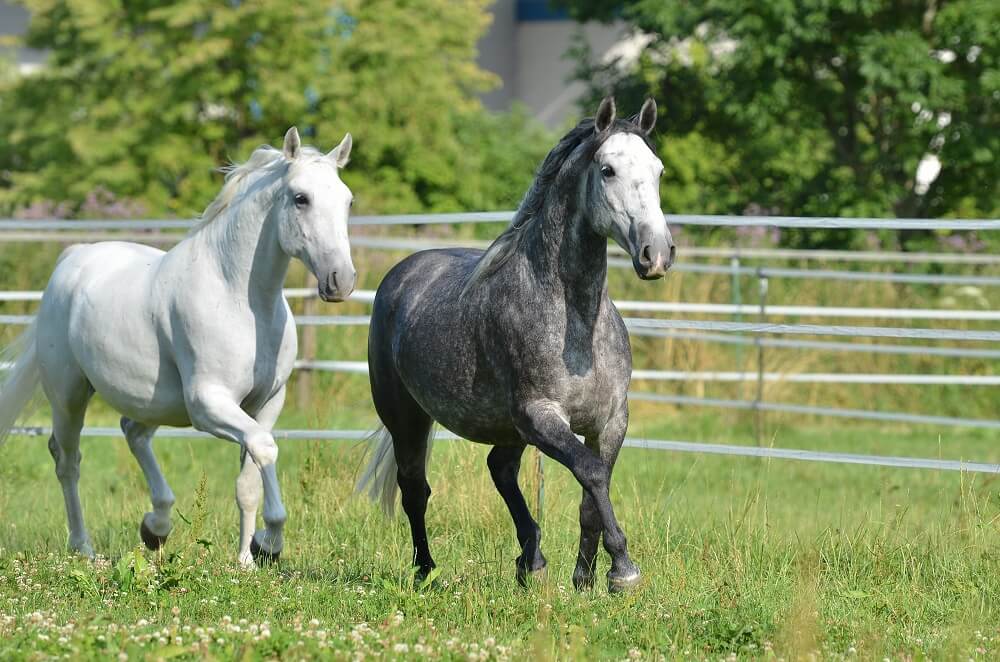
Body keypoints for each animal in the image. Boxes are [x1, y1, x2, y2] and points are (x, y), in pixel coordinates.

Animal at [0, 127, 358, 568]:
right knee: (68, 461)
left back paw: (156, 527)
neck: (239, 299)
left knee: (133, 433)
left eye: (347, 200)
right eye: (301, 198)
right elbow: (264, 448)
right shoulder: (208, 405)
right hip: (69, 395)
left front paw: (246, 560)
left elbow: (249, 479)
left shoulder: (267, 403)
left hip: (152, 401)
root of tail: (73, 257)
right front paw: (269, 542)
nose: (341, 279)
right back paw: (85, 548)